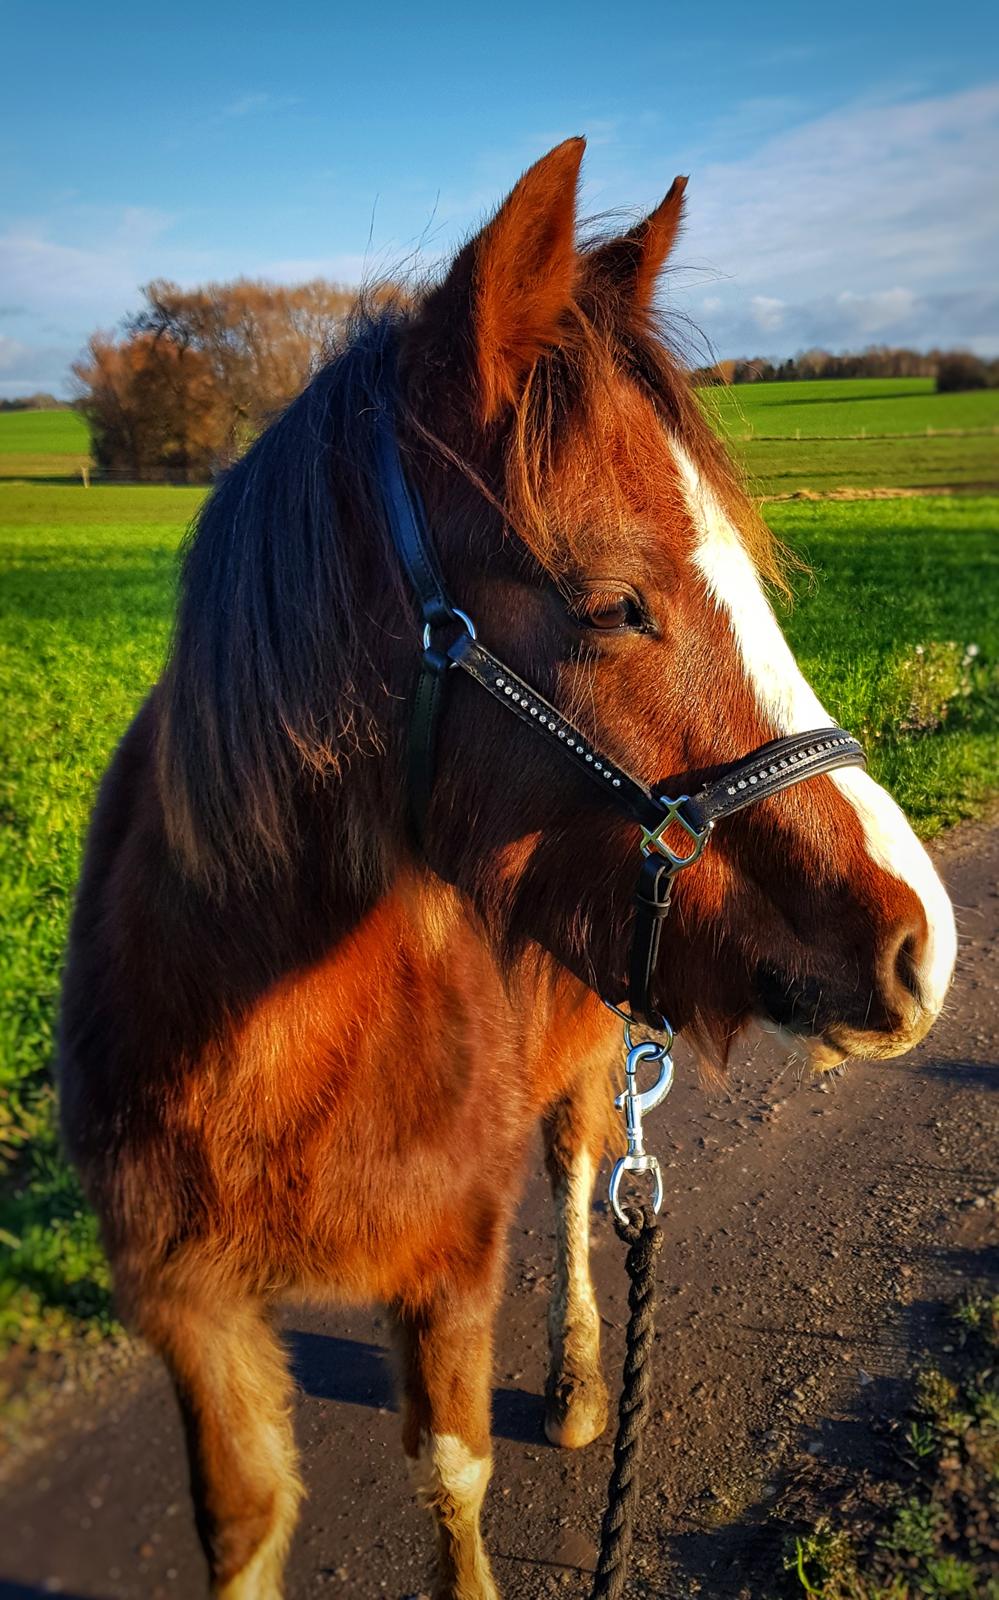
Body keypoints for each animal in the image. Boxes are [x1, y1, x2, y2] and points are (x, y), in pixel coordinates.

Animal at [59, 137, 957, 1600]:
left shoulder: (450, 1262)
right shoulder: (186, 1302)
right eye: (614, 604)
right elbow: (241, 1523)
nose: (922, 939)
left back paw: (586, 1376)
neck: (260, 1036)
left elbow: (453, 1468)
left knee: (585, 1176)